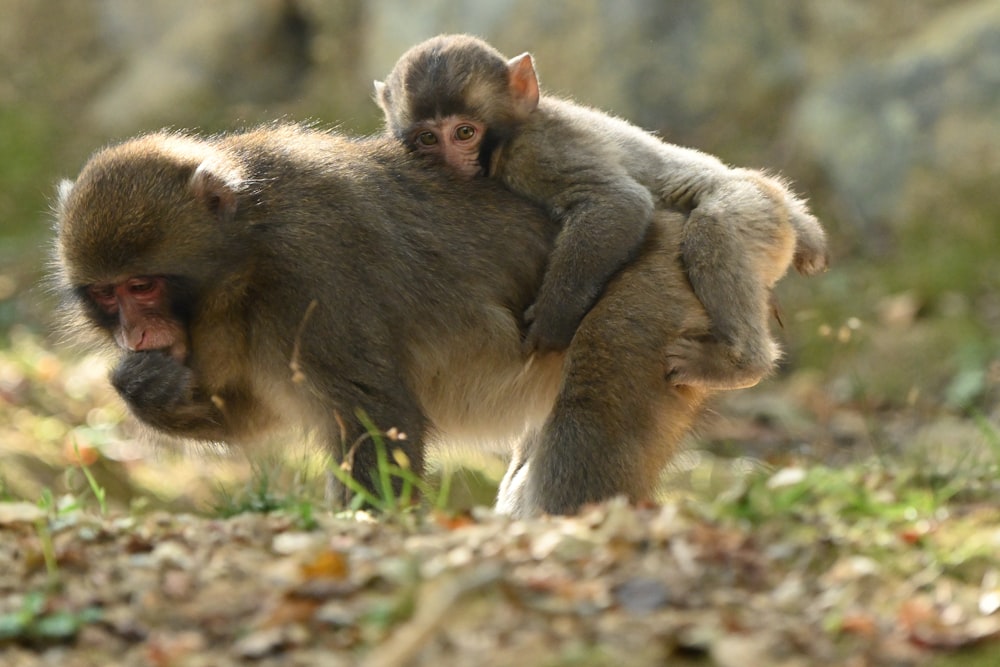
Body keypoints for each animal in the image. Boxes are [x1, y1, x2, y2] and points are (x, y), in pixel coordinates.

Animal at [56, 124, 712, 516]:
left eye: (142, 286)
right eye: (108, 295)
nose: (135, 332)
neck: (245, 261)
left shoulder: (315, 276)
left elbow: (378, 418)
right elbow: (256, 410)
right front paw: (143, 385)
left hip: (651, 290)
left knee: (591, 421)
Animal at [376, 35, 828, 392]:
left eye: (464, 133)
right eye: (427, 139)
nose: (451, 163)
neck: (509, 135)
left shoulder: (536, 151)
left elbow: (618, 202)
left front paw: (553, 318)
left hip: (757, 212)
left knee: (713, 226)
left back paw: (741, 363)